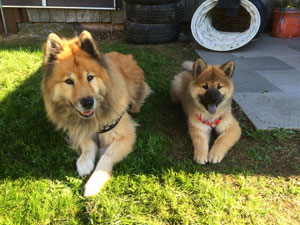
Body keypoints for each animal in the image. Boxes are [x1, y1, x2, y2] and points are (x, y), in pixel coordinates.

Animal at [41, 30, 151, 196]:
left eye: (90, 77)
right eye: (69, 81)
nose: (87, 102)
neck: (95, 119)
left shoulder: (125, 136)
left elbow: (106, 156)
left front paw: (93, 183)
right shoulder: (79, 129)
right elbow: (88, 146)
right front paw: (84, 162)